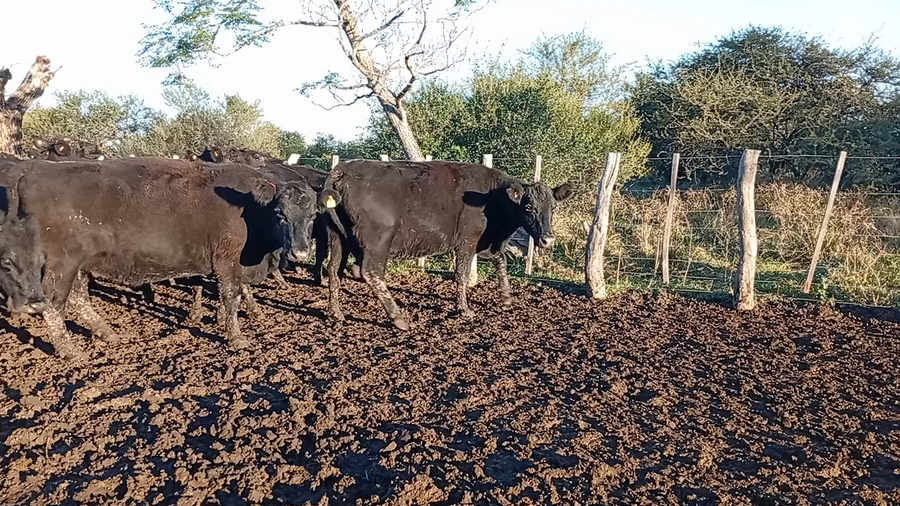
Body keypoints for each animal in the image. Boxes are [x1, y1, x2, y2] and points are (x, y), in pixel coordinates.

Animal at [0, 157, 336, 359]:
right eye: (280, 214)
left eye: (312, 215)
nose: (300, 251)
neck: (250, 208)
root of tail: (32, 171)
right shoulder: (227, 260)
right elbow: (231, 295)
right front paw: (236, 337)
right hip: (60, 265)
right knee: (54, 305)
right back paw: (70, 351)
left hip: (80, 265)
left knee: (79, 298)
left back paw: (108, 333)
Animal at [321, 160, 573, 330]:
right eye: (528, 208)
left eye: (553, 207)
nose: (548, 240)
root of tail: (343, 169)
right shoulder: (467, 240)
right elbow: (462, 273)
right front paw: (464, 309)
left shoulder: (486, 243)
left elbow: (500, 261)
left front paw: (506, 298)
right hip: (378, 241)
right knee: (371, 272)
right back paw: (399, 318)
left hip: (338, 236)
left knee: (333, 269)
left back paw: (336, 313)